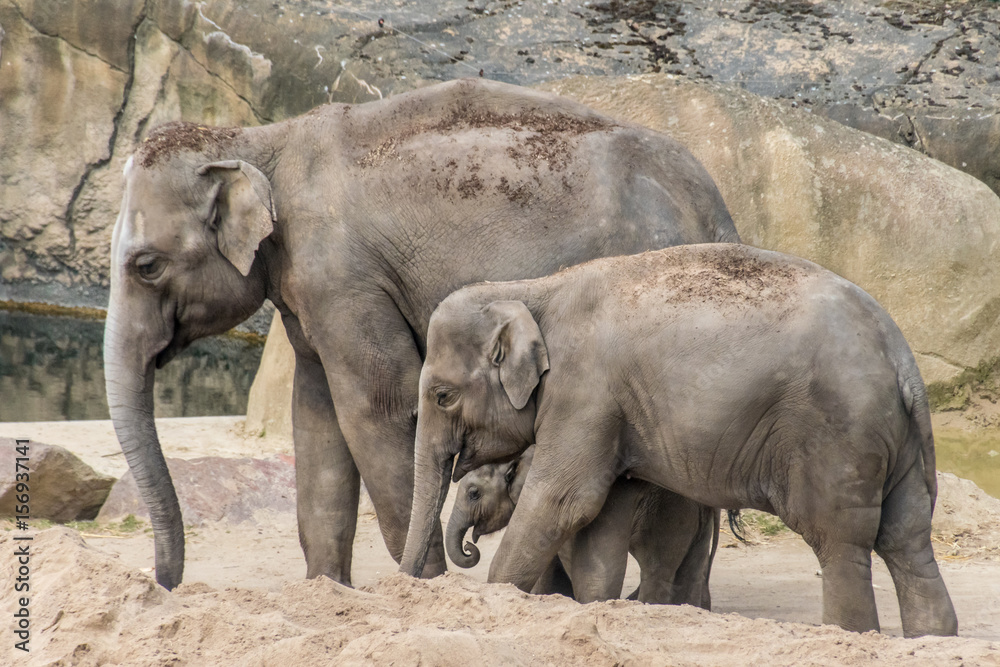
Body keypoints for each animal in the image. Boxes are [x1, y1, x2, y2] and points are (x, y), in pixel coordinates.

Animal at [103, 77, 740, 590]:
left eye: (146, 265)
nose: (164, 583)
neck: (261, 141)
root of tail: (718, 209)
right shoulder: (312, 293)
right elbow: (317, 416)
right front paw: (327, 590)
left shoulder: (344, 278)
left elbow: (377, 408)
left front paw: (421, 585)